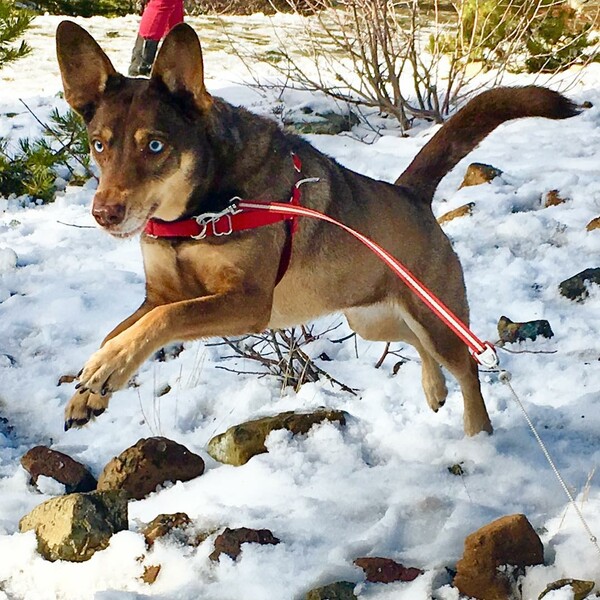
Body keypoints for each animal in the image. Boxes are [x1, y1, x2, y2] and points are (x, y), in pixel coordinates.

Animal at [56, 19, 580, 436]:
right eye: (99, 144)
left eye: (155, 146)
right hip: (370, 316)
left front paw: (107, 370)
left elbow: (163, 322)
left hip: (436, 315)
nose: (105, 213)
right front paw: (90, 388)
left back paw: (477, 435)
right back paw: (433, 388)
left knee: (467, 367)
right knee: (414, 342)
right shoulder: (160, 292)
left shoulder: (247, 302)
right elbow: (123, 329)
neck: (197, 212)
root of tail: (412, 195)